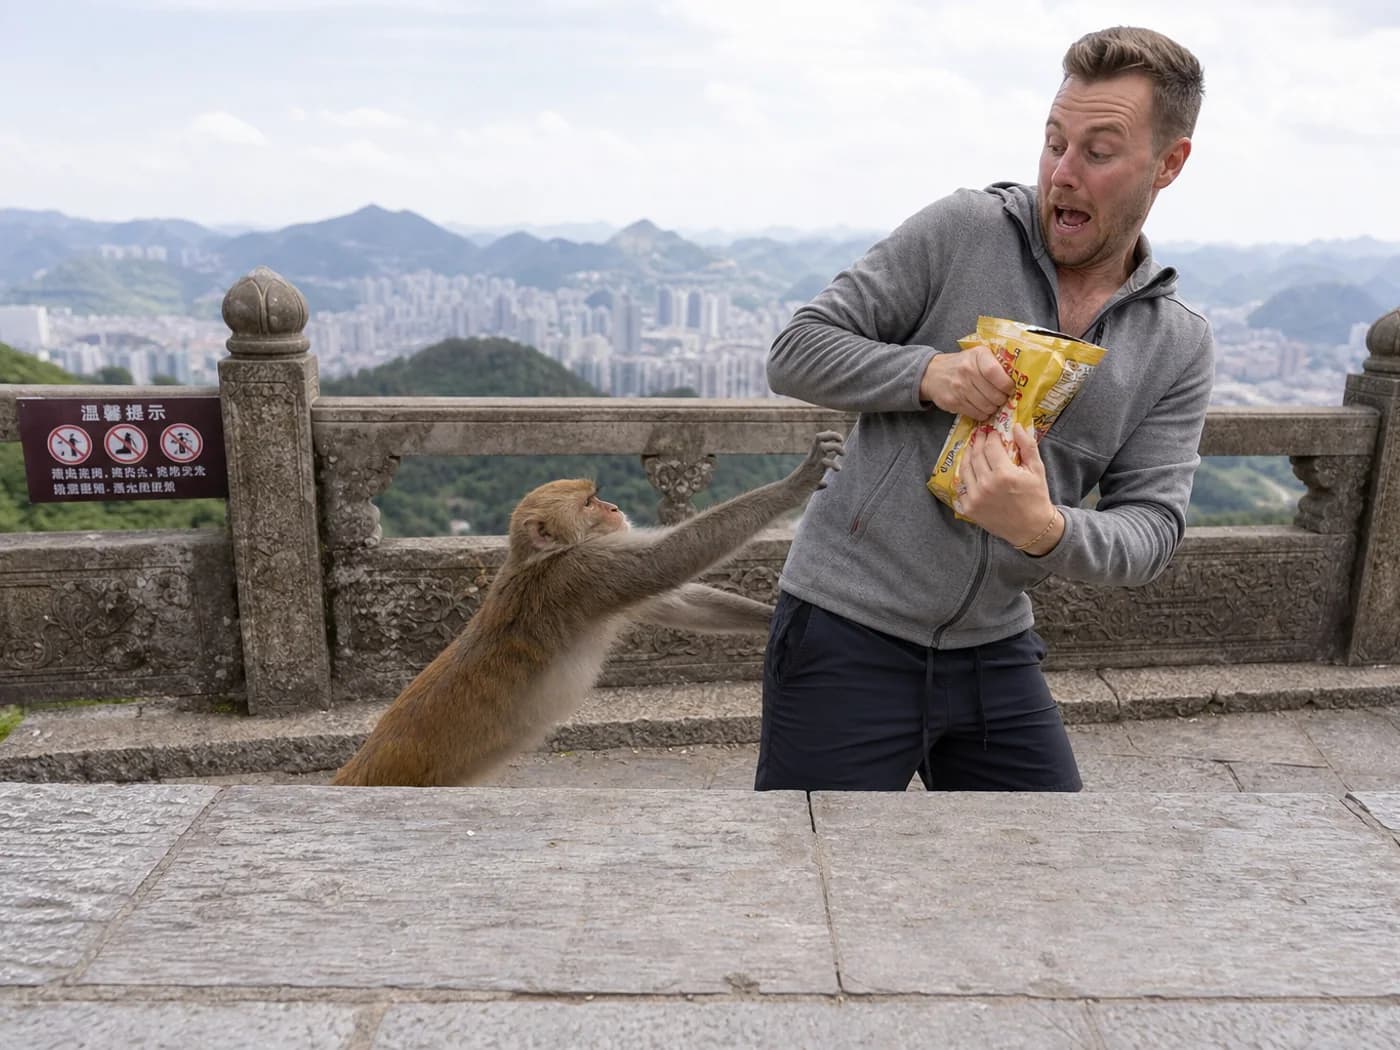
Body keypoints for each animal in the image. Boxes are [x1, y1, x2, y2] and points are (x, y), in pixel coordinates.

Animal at [332, 430, 845, 787]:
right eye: (588, 502)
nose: (615, 507)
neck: (539, 559)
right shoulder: (581, 574)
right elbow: (668, 561)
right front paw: (797, 481)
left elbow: (677, 601)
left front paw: (769, 620)